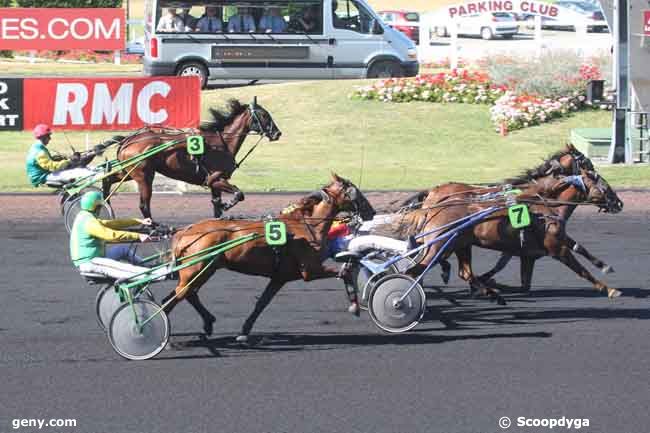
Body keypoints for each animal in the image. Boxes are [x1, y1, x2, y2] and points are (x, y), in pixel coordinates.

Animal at [105, 98, 280, 219]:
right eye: (264, 115)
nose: (277, 133)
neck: (221, 143)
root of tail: (127, 141)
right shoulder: (214, 179)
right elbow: (239, 194)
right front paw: (227, 205)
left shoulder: (214, 184)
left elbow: (217, 207)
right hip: (144, 176)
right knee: (143, 205)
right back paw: (153, 227)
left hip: (129, 171)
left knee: (108, 180)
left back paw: (107, 205)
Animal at [161, 173, 374, 340]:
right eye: (354, 191)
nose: (371, 211)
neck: (306, 226)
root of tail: (185, 231)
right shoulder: (310, 271)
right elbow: (345, 273)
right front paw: (354, 306)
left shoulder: (280, 277)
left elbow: (261, 303)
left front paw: (244, 331)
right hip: (198, 269)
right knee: (178, 295)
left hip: (204, 269)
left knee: (187, 293)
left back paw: (207, 322)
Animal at [400, 170, 624, 304]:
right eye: (604, 185)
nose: (619, 203)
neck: (545, 206)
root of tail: (434, 203)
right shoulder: (556, 248)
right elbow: (581, 270)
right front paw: (609, 289)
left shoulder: (529, 254)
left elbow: (525, 282)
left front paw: (605, 266)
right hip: (441, 244)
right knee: (416, 269)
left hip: (459, 243)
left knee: (464, 272)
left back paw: (490, 292)